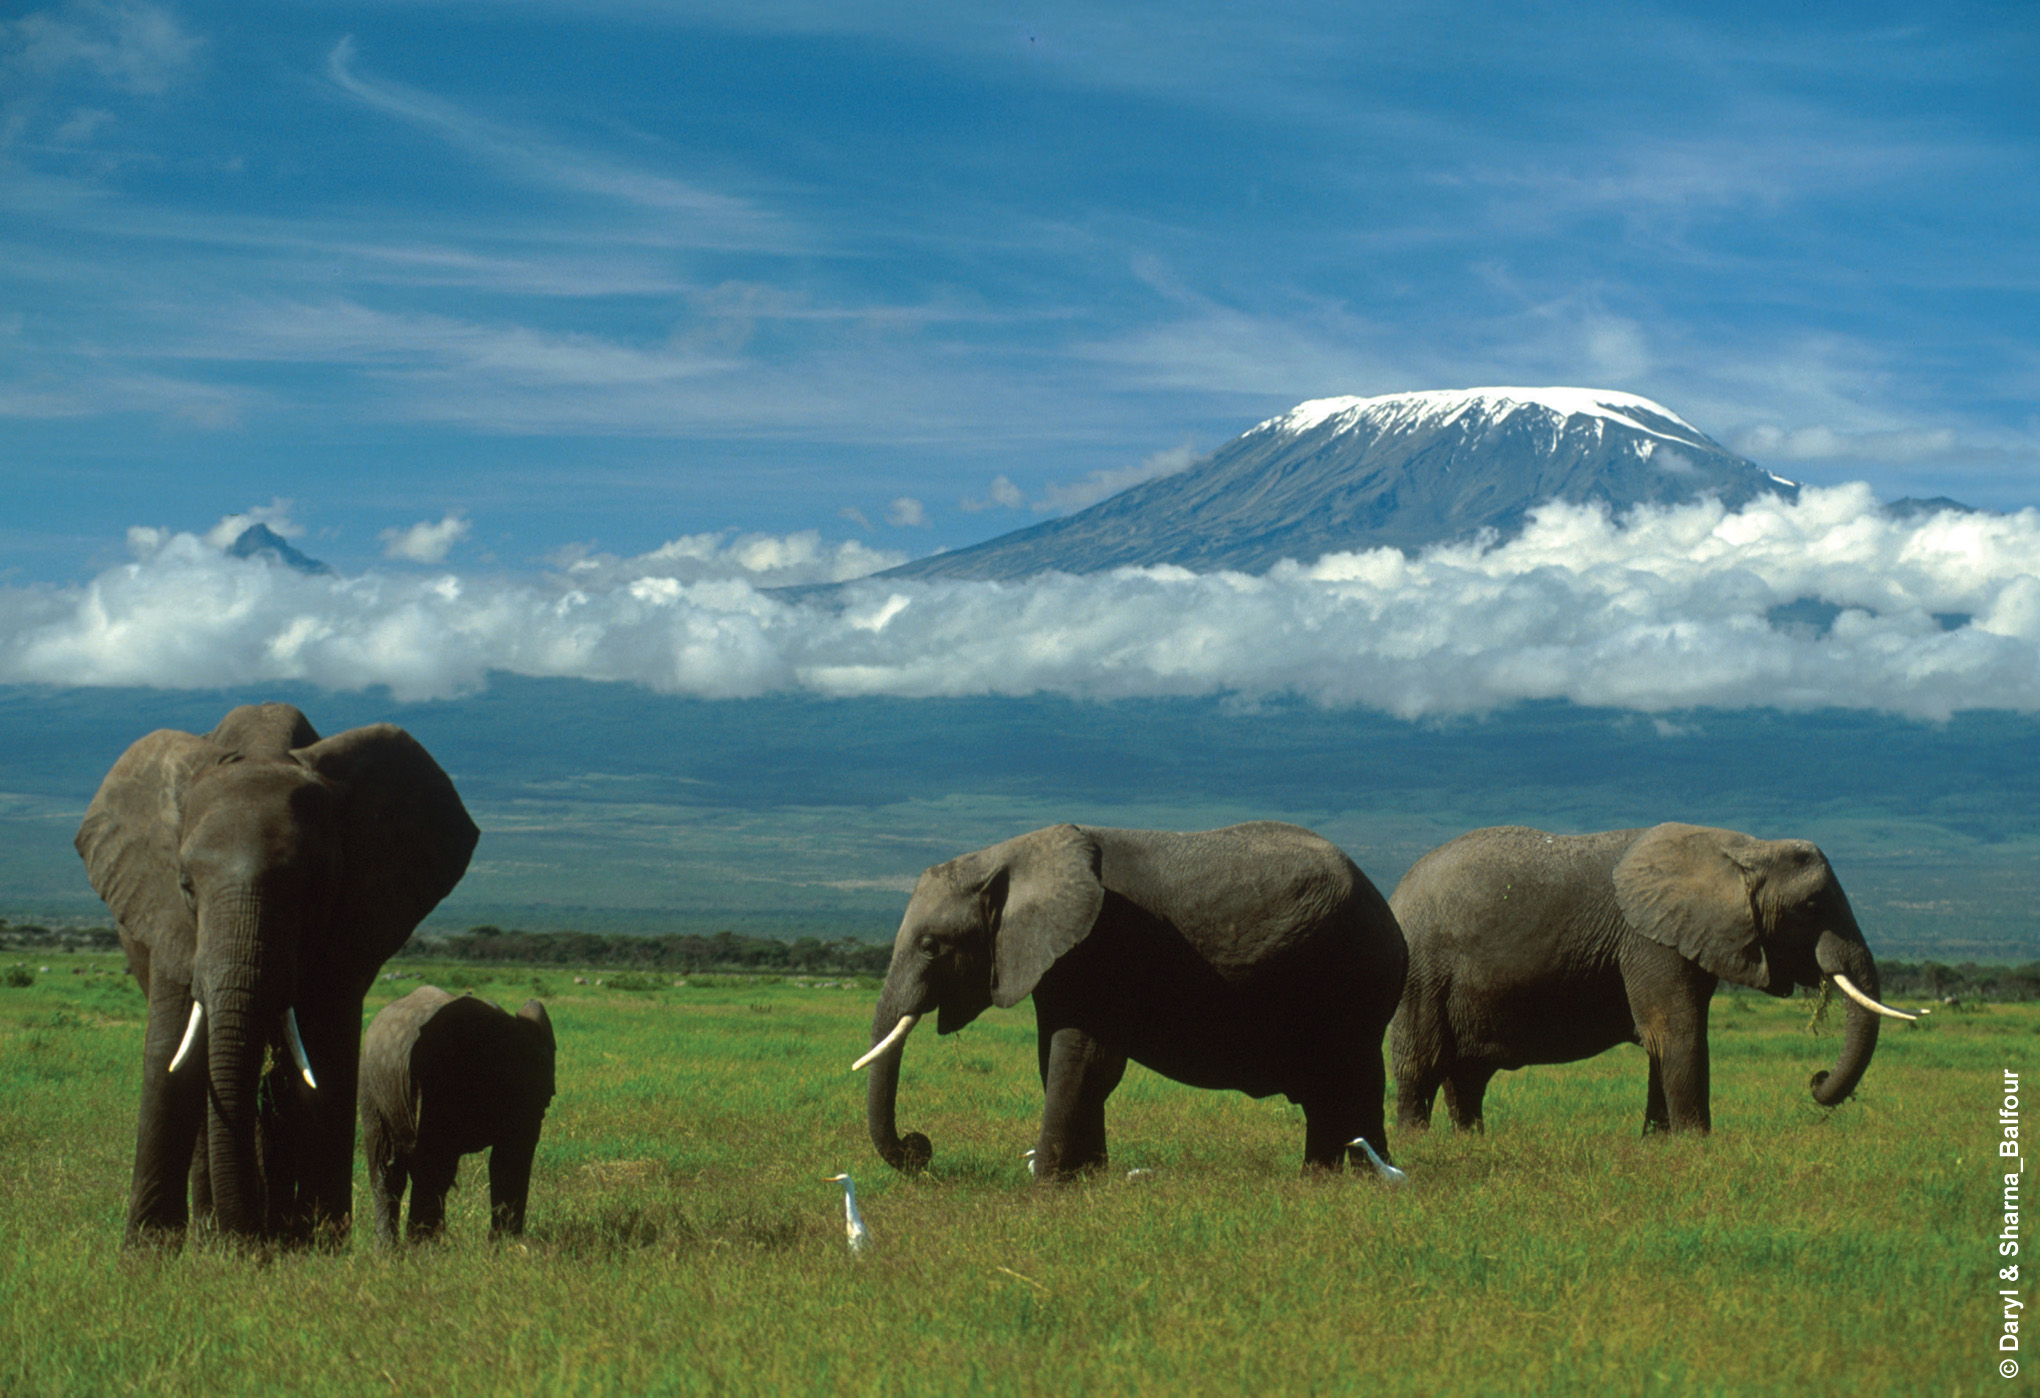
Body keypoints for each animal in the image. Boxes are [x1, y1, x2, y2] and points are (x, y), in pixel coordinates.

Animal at [73, 710, 479, 1240]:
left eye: (315, 886)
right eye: (186, 885)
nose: (246, 1239)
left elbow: (325, 1056)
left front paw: (316, 1244)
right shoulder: (166, 919)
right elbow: (169, 1050)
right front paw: (148, 1251)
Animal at [852, 816, 1411, 1175]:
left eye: (931, 946)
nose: (920, 1147)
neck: (1008, 856)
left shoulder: (1100, 944)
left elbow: (1081, 1060)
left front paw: (1046, 1187)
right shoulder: (1061, 958)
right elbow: (1067, 1062)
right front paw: (1089, 1182)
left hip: (1356, 979)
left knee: (1351, 1083)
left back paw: (1366, 1184)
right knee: (1328, 1093)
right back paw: (1322, 1181)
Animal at [1387, 816, 1909, 1134]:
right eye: (1812, 906)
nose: (1816, 1079)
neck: (1741, 847)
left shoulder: (1680, 939)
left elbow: (1668, 1042)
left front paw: (1659, 1144)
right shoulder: (1649, 941)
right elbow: (1678, 1036)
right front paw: (1696, 1146)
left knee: (1466, 1078)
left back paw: (1469, 1143)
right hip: (1421, 974)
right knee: (1421, 1066)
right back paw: (1419, 1145)